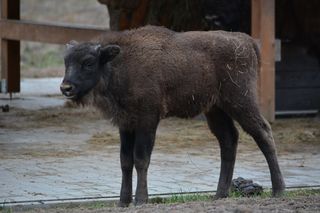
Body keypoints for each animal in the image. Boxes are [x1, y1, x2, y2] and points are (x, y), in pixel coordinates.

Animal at [60, 25, 284, 206]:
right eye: (66, 62)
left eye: (89, 62)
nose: (66, 87)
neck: (120, 63)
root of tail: (246, 41)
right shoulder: (126, 124)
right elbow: (125, 161)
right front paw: (123, 202)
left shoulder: (147, 121)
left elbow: (141, 159)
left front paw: (141, 200)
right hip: (215, 109)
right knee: (228, 140)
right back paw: (220, 194)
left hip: (240, 102)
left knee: (263, 133)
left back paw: (278, 190)